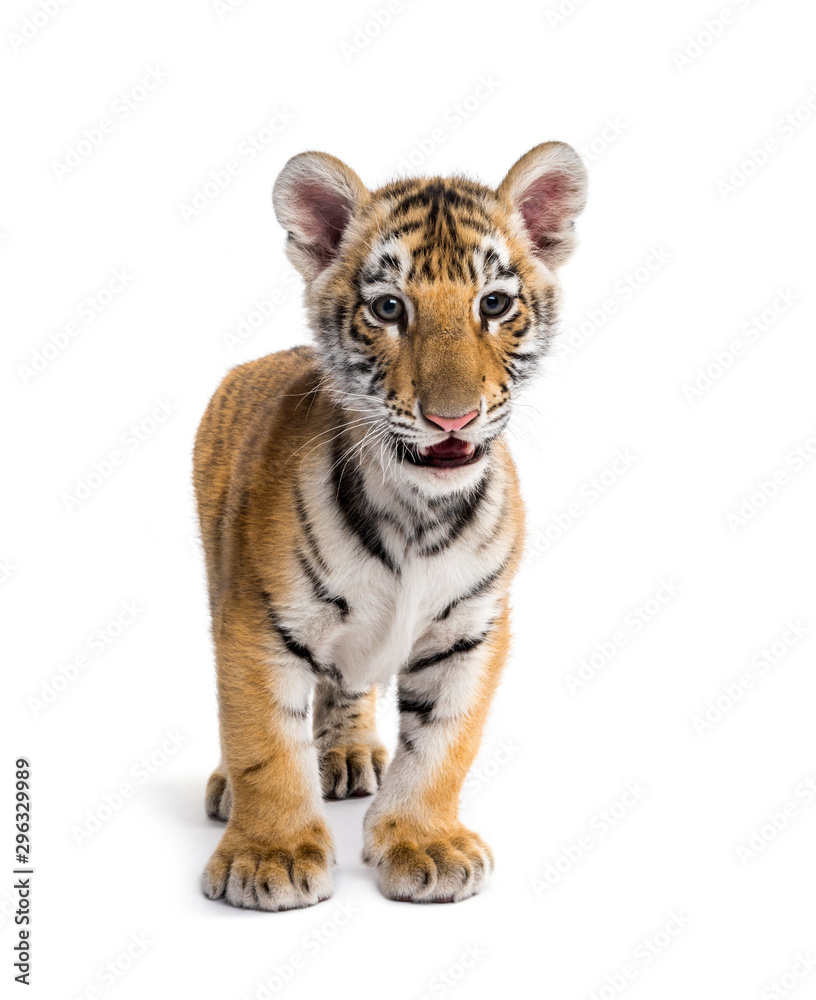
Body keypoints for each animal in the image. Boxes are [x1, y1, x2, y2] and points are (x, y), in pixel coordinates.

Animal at [193, 142, 587, 910]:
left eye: (494, 304)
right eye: (387, 309)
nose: (452, 419)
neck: (419, 512)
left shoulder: (472, 628)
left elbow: (443, 744)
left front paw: (425, 843)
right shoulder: (257, 620)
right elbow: (264, 742)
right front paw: (271, 855)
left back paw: (347, 754)